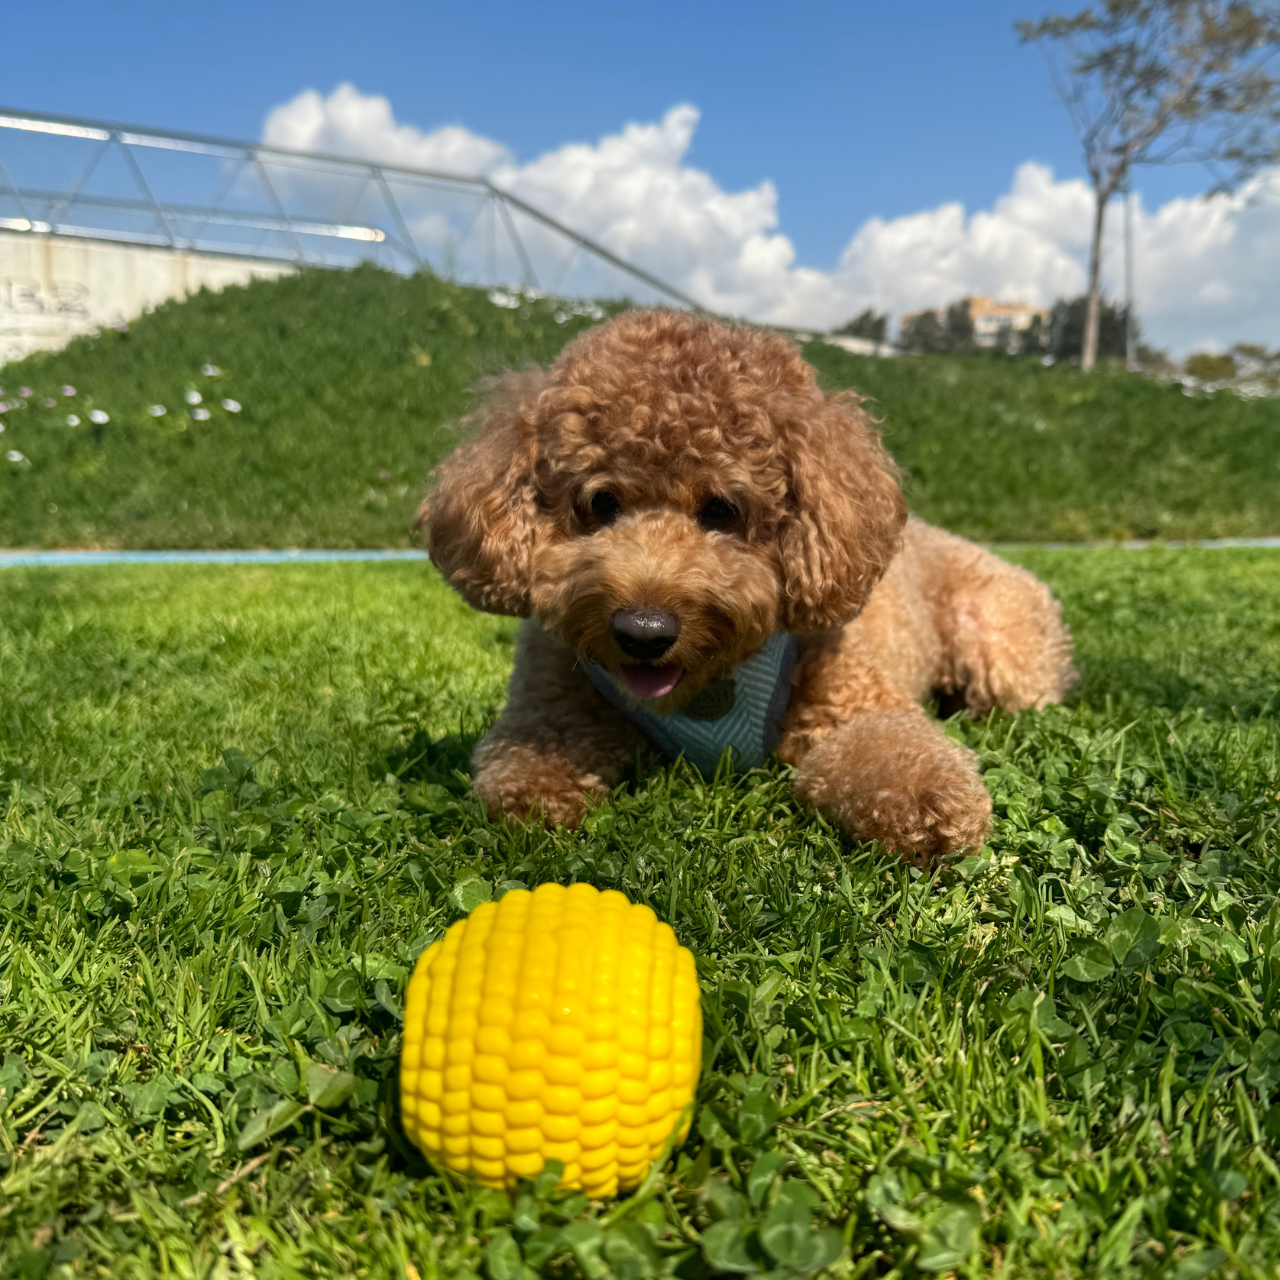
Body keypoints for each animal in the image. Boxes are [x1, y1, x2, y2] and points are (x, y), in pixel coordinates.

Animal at [417, 308, 1070, 860]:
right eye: (599, 503)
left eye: (723, 509)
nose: (643, 632)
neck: (709, 684)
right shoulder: (554, 706)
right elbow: (532, 756)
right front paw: (533, 796)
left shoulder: (853, 700)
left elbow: (888, 748)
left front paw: (926, 802)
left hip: (1004, 654)